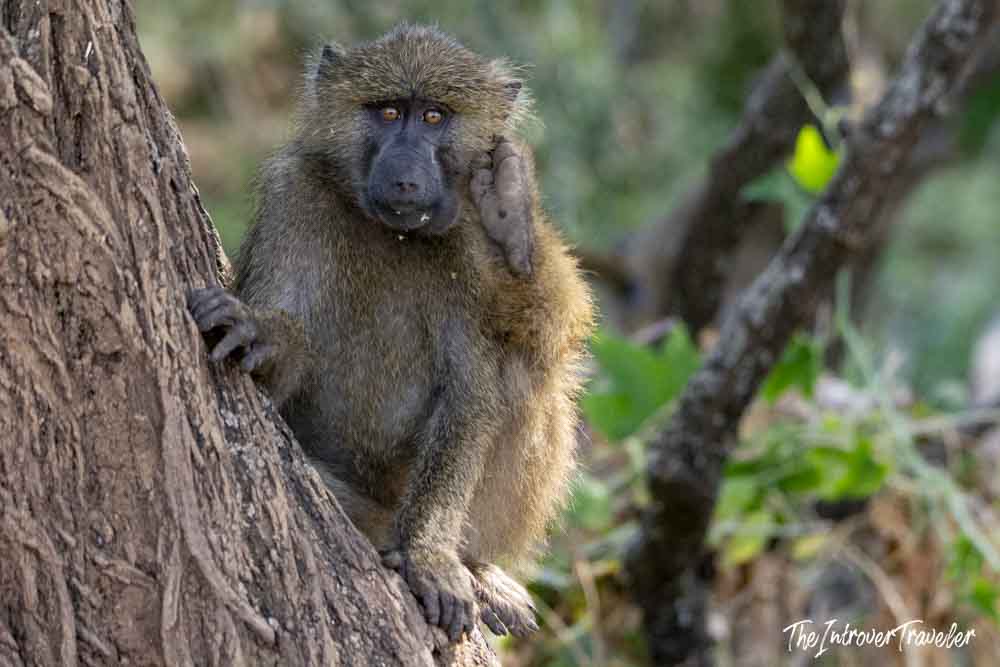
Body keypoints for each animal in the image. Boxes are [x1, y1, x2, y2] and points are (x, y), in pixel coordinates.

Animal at [187, 24, 594, 642]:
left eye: (433, 116)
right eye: (386, 112)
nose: (405, 177)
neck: (393, 234)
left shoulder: (468, 248)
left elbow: (473, 394)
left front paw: (429, 557)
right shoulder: (294, 197)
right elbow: (280, 365)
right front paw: (260, 332)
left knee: (530, 366)